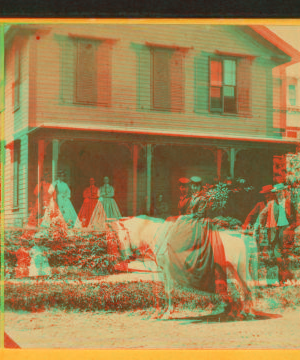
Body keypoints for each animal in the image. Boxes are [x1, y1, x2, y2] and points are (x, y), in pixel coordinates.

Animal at [108, 215, 258, 320]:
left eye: (124, 236)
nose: (127, 256)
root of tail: (242, 237)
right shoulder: (159, 271)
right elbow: (160, 290)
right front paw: (158, 313)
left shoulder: (167, 271)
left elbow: (168, 290)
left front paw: (168, 313)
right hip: (232, 270)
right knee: (241, 288)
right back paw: (241, 313)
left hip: (240, 269)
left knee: (248, 286)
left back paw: (249, 313)